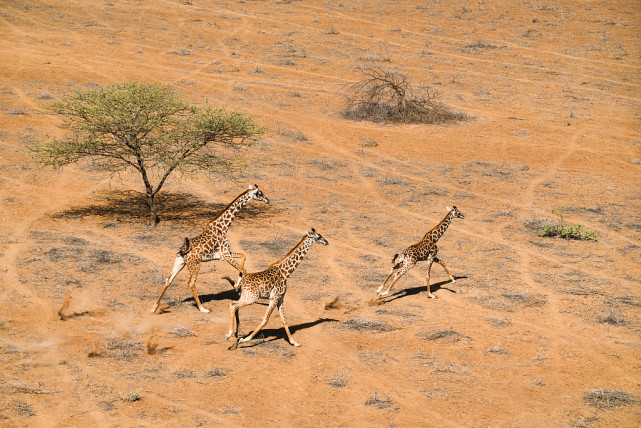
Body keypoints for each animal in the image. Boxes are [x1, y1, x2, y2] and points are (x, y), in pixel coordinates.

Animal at [151, 185, 268, 314]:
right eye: (259, 193)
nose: (267, 200)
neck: (223, 227)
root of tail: (183, 251)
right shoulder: (225, 255)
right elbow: (244, 269)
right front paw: (238, 286)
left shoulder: (225, 254)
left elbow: (243, 257)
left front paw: (236, 285)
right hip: (196, 264)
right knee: (191, 283)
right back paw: (203, 308)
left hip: (180, 262)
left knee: (169, 279)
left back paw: (154, 307)